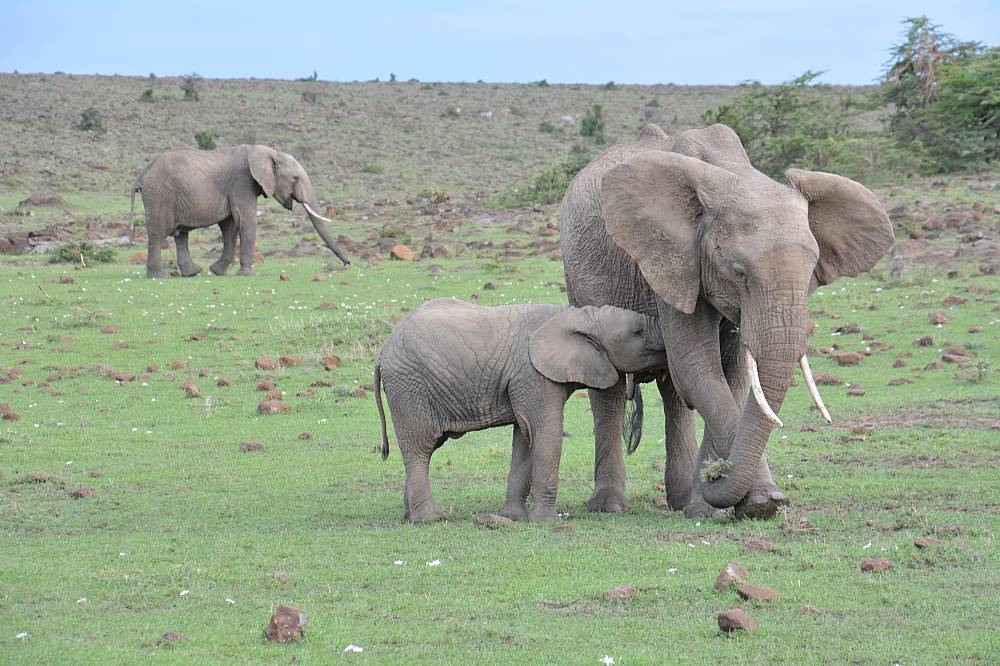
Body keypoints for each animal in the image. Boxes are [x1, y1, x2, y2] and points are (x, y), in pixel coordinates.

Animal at [129, 145, 350, 278]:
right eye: (295, 178)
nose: (348, 264)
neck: (267, 152)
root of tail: (141, 175)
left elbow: (230, 227)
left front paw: (217, 272)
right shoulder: (241, 183)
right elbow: (246, 222)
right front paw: (248, 275)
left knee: (181, 234)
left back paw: (193, 273)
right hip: (160, 195)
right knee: (158, 233)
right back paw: (159, 276)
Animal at [372, 298, 668, 520]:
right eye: (638, 332)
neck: (577, 315)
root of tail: (382, 352)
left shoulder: (523, 381)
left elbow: (526, 438)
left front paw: (513, 517)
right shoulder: (533, 374)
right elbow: (545, 434)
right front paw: (546, 520)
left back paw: (410, 516)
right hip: (410, 387)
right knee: (420, 448)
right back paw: (431, 518)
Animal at [560, 124, 896, 520]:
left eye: (812, 272)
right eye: (739, 273)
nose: (715, 477)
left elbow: (731, 375)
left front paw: (738, 503)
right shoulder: (675, 263)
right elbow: (701, 368)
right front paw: (753, 501)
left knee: (674, 391)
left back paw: (679, 502)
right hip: (581, 279)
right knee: (610, 389)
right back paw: (608, 506)